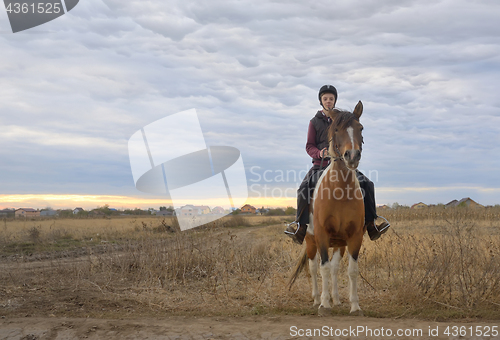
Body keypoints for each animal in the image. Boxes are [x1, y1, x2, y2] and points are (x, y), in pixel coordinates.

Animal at [288, 100, 366, 316]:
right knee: (314, 267)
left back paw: (336, 299)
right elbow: (322, 268)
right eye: (337, 129)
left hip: (339, 243)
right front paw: (324, 305)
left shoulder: (354, 236)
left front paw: (355, 306)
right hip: (310, 241)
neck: (340, 190)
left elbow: (351, 270)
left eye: (360, 128)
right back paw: (317, 299)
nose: (352, 156)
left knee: (334, 268)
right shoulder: (322, 235)